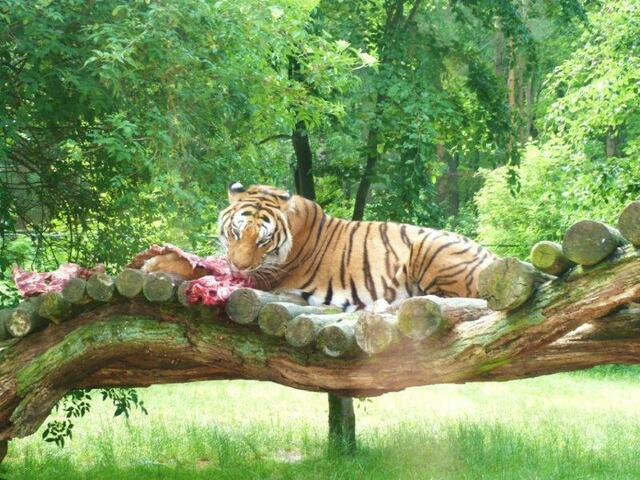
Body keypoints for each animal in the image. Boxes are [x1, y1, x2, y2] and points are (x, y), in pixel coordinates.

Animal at [146, 182, 497, 310]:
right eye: (235, 232)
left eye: (263, 240)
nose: (240, 264)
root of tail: (496, 259)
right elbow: (207, 260)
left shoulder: (262, 277)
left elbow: (204, 269)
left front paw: (156, 263)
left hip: (429, 244)